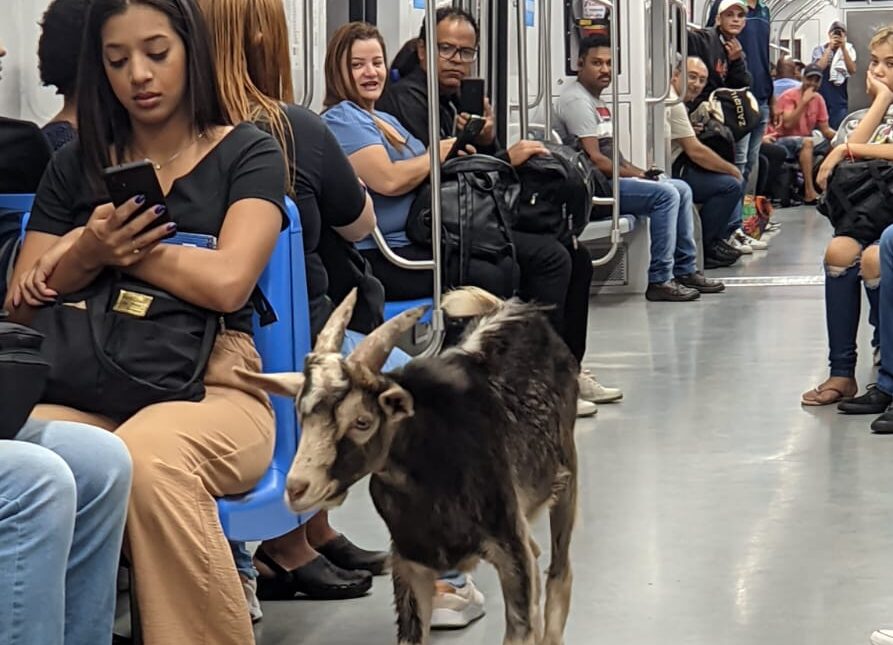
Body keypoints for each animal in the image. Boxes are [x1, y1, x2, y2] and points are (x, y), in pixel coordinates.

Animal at [235, 288, 580, 644]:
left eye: (362, 421)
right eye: (301, 414)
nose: (296, 487)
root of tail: (512, 309)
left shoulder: (510, 550)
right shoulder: (409, 562)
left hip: (565, 479)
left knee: (560, 571)